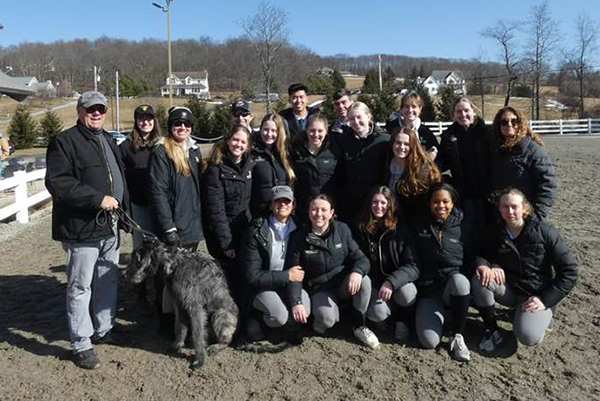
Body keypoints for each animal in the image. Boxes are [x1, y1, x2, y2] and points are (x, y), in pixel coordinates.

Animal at [127, 238, 238, 368]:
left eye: (135, 259)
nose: (126, 273)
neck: (174, 263)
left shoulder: (195, 307)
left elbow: (197, 334)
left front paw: (200, 359)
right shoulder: (179, 303)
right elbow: (179, 327)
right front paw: (177, 345)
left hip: (220, 314)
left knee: (227, 340)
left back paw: (215, 347)